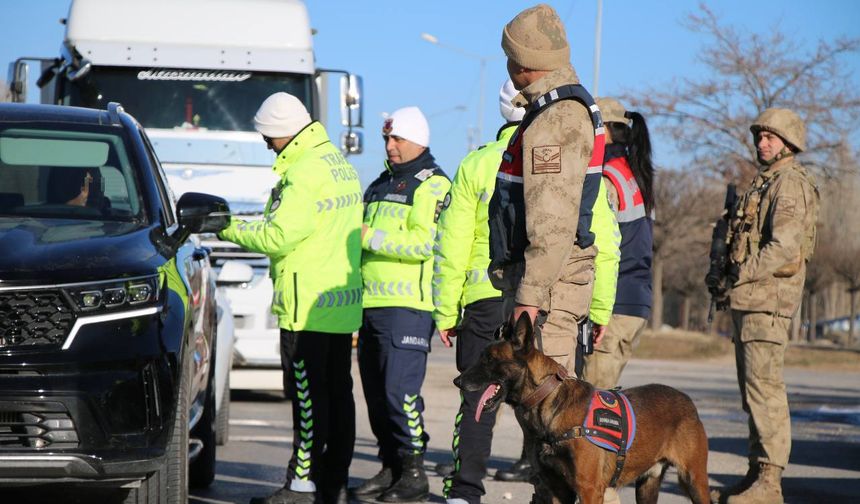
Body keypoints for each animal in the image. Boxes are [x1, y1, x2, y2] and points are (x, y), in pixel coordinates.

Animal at [454, 314, 708, 502]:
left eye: (488, 359)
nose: (457, 381)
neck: (549, 402)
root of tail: (688, 401)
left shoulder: (589, 490)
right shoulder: (558, 491)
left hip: (693, 480)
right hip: (647, 486)